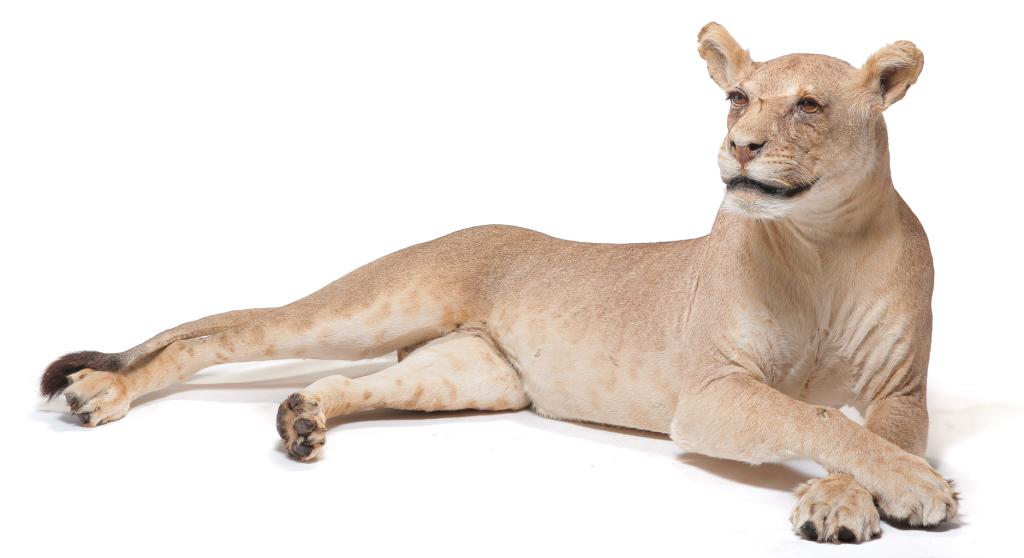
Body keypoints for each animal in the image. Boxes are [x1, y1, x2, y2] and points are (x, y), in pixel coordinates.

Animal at [40, 22, 955, 543]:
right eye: (736, 98)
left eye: (807, 105)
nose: (741, 148)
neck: (821, 240)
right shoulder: (711, 392)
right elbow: (813, 418)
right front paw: (912, 488)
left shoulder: (901, 390)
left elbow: (868, 433)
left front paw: (850, 498)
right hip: (373, 302)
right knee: (212, 334)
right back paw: (99, 394)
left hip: (468, 376)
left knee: (349, 383)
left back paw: (302, 419)